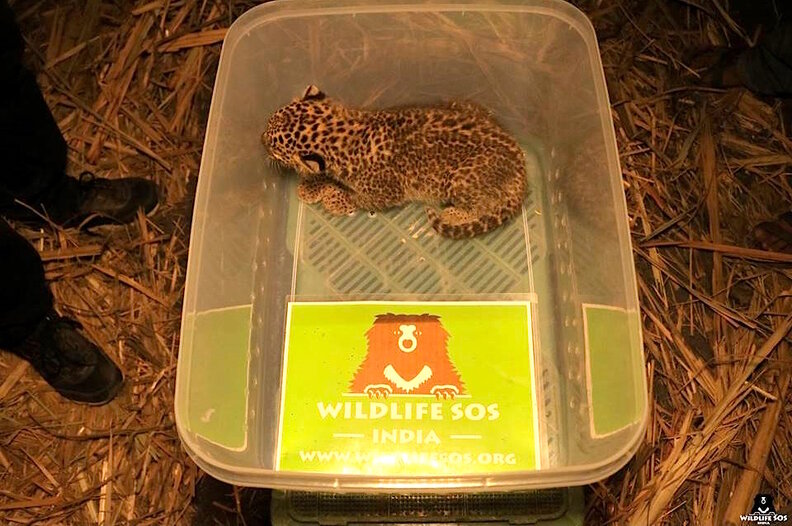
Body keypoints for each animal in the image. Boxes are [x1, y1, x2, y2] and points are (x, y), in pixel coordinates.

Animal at [261, 85, 528, 239]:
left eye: (274, 146)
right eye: (269, 121)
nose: (260, 139)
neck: (345, 130)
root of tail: (520, 162)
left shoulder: (386, 192)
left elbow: (358, 198)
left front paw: (334, 199)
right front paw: (311, 185)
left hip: (462, 179)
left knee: (483, 206)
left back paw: (452, 213)